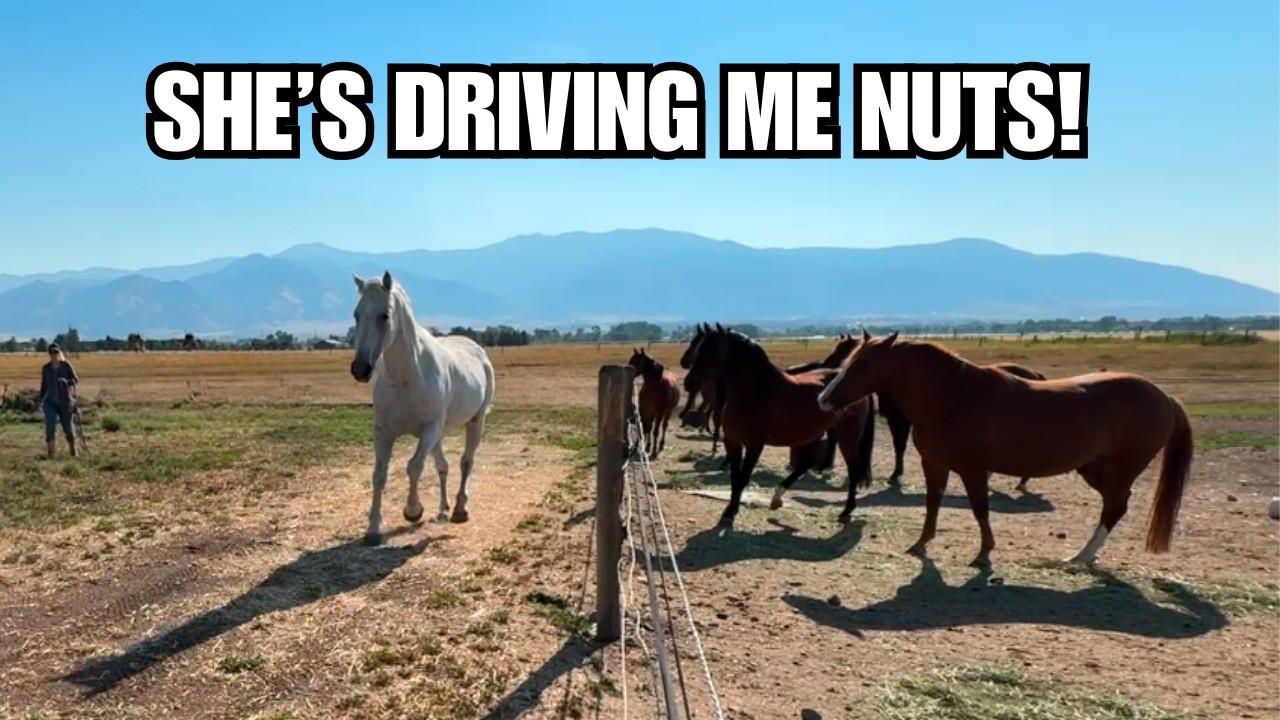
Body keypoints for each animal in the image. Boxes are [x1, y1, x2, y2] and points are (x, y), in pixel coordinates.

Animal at [349, 271, 497, 546]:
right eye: (356, 314)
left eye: (384, 315)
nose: (360, 369)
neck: (406, 377)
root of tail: (477, 350)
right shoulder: (383, 432)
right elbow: (379, 475)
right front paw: (372, 530)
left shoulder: (428, 430)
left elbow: (414, 467)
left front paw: (413, 511)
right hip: (440, 434)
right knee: (443, 467)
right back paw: (443, 509)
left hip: (475, 421)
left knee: (466, 462)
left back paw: (460, 509)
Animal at [687, 325, 874, 528]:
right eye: (699, 347)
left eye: (711, 350)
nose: (689, 382)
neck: (756, 391)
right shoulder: (733, 441)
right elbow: (735, 478)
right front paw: (730, 510)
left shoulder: (754, 445)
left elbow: (743, 478)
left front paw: (730, 513)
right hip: (810, 434)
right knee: (806, 463)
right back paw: (777, 497)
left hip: (847, 437)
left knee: (852, 469)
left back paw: (847, 510)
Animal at [799, 333, 1049, 491]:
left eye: (854, 358)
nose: (826, 366)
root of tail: (1036, 375)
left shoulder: (900, 421)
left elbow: (899, 447)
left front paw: (895, 475)